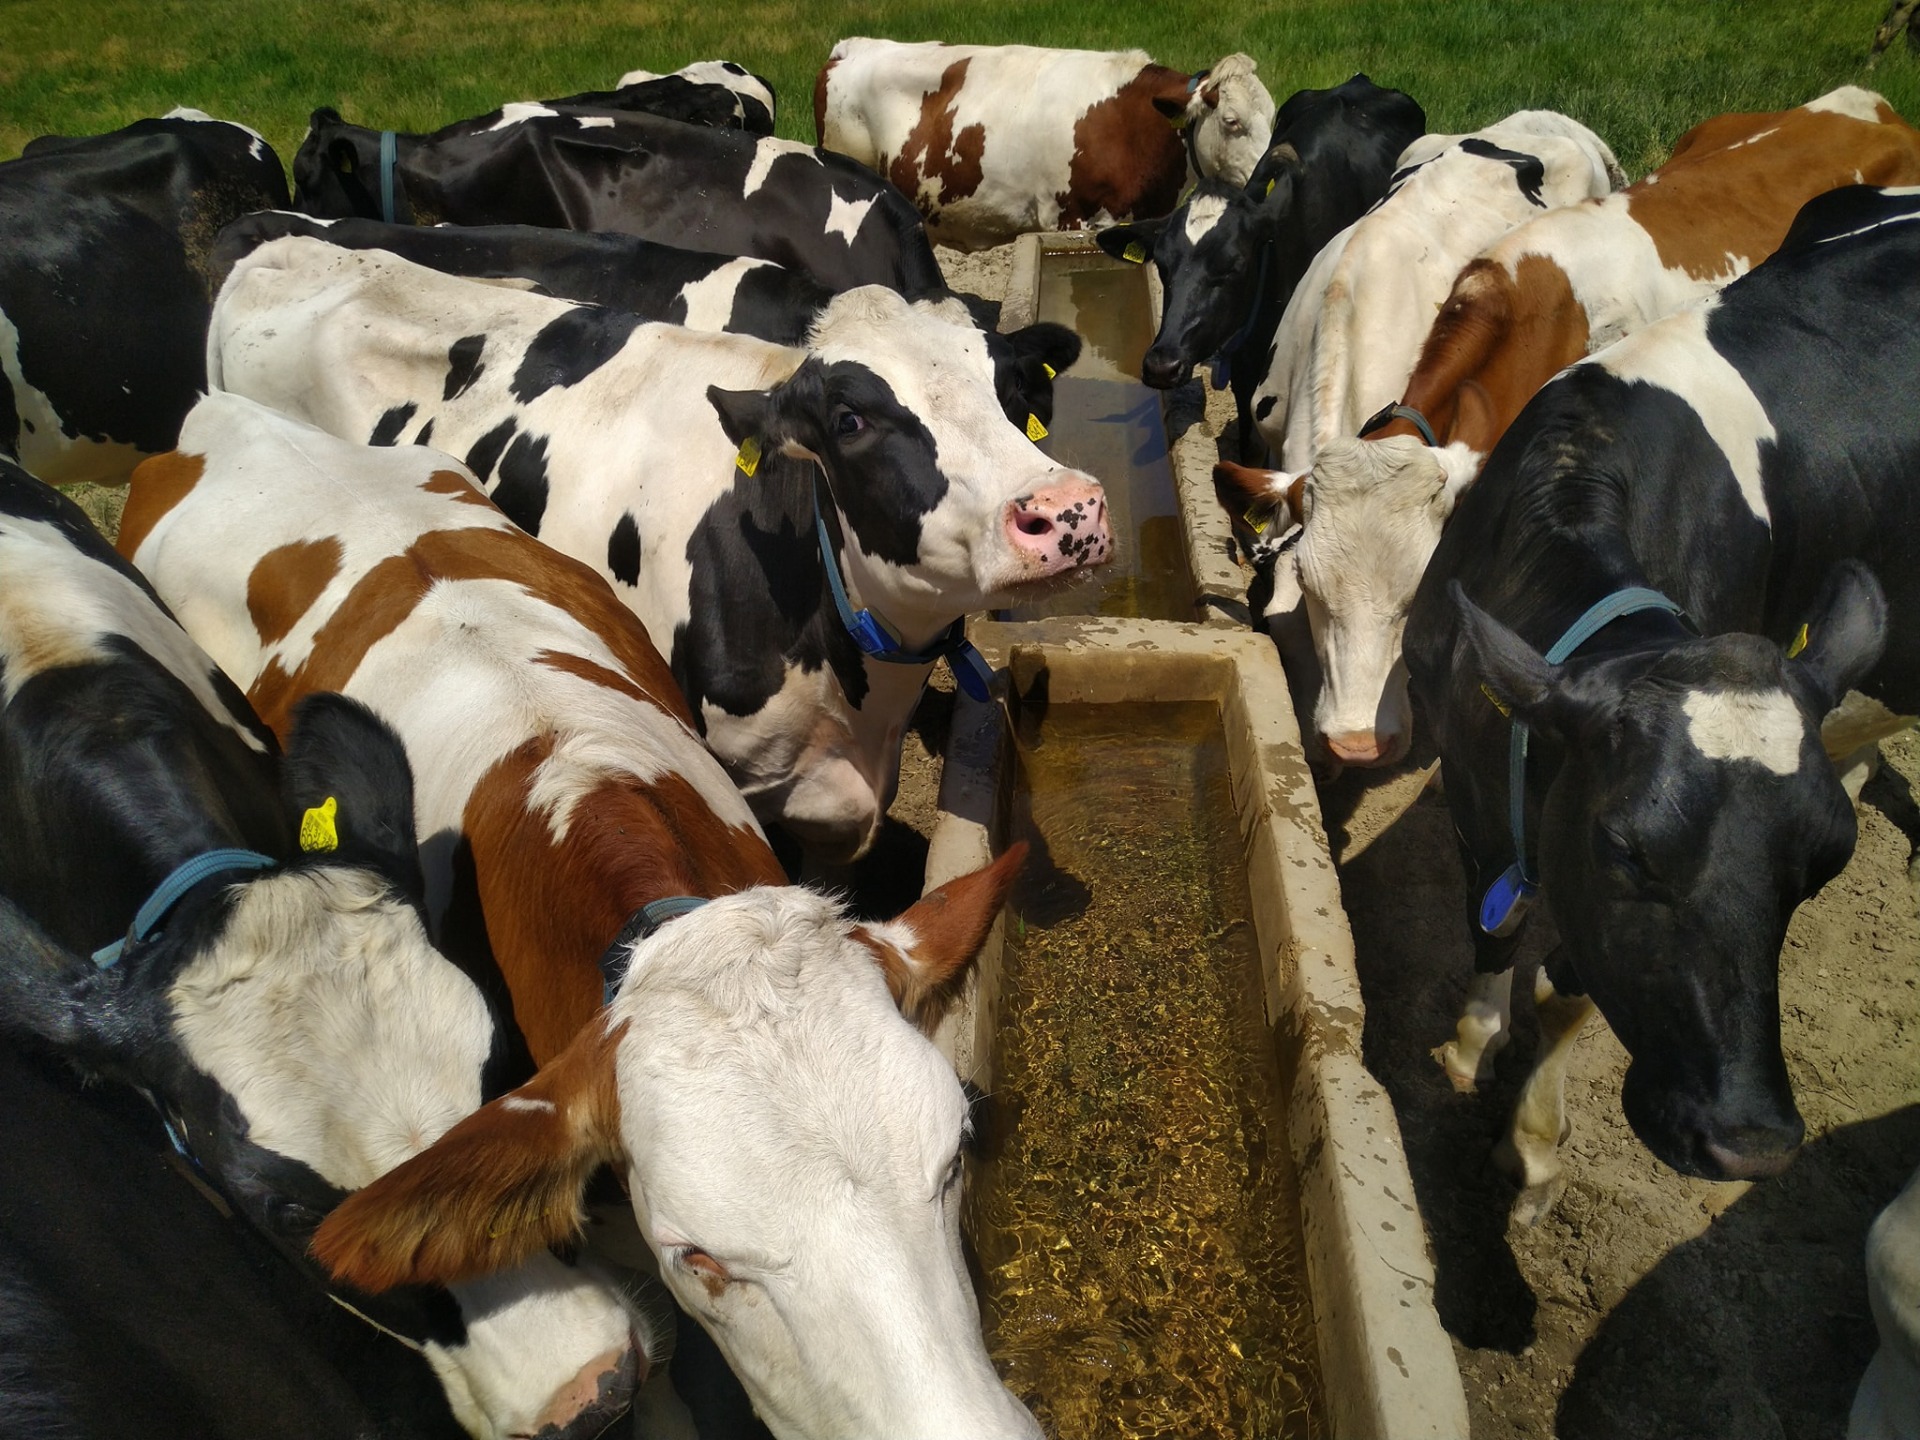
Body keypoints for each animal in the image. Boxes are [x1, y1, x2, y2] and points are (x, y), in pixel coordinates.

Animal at [1401, 184, 1920, 1227]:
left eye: (1827, 866)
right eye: (1628, 849)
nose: (1751, 1144)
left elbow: (1564, 993)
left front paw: (1531, 1151)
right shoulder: (1469, 773)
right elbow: (1491, 924)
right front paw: (1472, 1043)